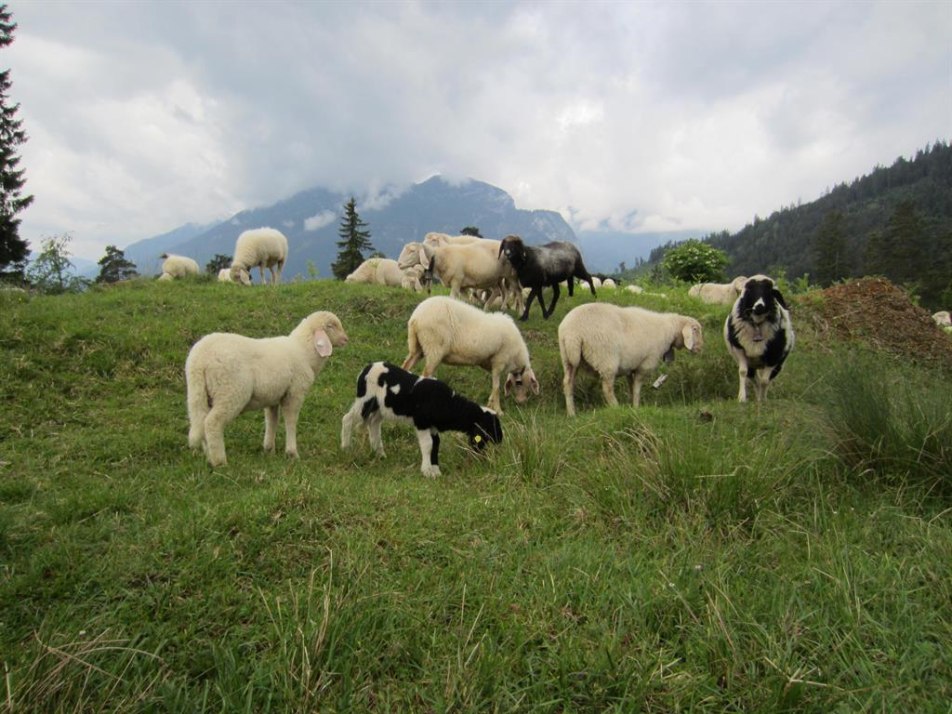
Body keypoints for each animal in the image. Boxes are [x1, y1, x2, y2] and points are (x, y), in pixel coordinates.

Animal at [185, 311, 348, 466]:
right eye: (331, 326)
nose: (346, 339)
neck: (304, 352)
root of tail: (199, 360)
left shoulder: (273, 397)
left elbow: (272, 421)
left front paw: (269, 449)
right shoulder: (295, 393)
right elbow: (291, 421)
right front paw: (292, 453)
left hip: (202, 393)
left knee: (202, 421)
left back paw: (209, 457)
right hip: (230, 391)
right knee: (212, 422)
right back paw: (219, 461)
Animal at [341, 362, 503, 477]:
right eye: (491, 425)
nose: (500, 439)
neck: (448, 404)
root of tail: (366, 368)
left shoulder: (433, 427)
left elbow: (436, 444)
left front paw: (435, 470)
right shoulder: (422, 423)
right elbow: (428, 445)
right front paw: (426, 471)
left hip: (380, 408)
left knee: (374, 424)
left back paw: (380, 454)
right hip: (365, 400)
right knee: (347, 418)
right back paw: (346, 447)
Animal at [401, 295, 540, 414]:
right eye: (519, 383)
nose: (521, 402)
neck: (516, 357)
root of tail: (415, 317)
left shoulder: (491, 364)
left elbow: (493, 388)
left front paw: (490, 405)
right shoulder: (499, 360)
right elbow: (496, 387)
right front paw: (499, 411)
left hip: (417, 347)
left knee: (406, 366)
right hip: (434, 348)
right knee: (425, 374)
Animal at [558, 302, 703, 416]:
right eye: (695, 330)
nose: (700, 348)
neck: (669, 330)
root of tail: (572, 332)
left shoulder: (630, 366)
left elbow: (631, 386)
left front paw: (631, 404)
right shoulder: (645, 364)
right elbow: (637, 388)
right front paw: (636, 407)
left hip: (567, 359)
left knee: (568, 384)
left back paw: (572, 414)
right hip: (606, 359)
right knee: (607, 388)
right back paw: (616, 408)